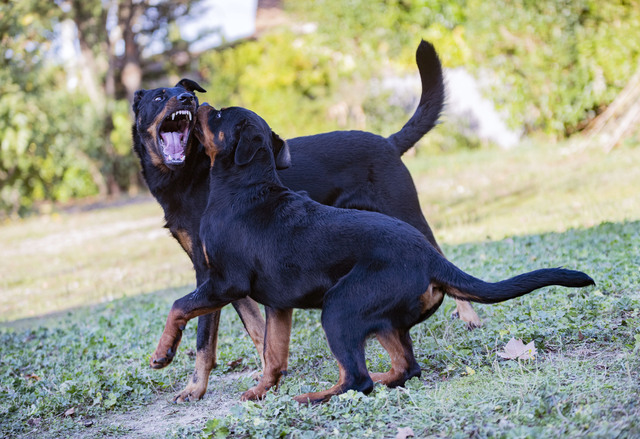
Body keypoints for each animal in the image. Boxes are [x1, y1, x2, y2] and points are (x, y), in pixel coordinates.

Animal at [132, 39, 480, 404]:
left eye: (187, 93)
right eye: (159, 96)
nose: (188, 98)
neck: (188, 173)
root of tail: (388, 142)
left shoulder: (212, 273)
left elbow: (200, 333)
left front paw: (185, 377)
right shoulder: (223, 273)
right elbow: (258, 330)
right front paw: (261, 378)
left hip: (405, 214)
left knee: (442, 259)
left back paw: (469, 316)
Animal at [150, 105, 596, 406]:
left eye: (217, 116)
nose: (196, 102)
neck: (245, 186)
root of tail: (430, 258)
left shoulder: (223, 282)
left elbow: (178, 307)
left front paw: (162, 354)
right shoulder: (278, 304)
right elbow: (273, 355)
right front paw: (260, 391)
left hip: (340, 308)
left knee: (357, 378)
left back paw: (314, 397)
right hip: (380, 318)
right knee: (404, 367)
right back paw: (377, 379)